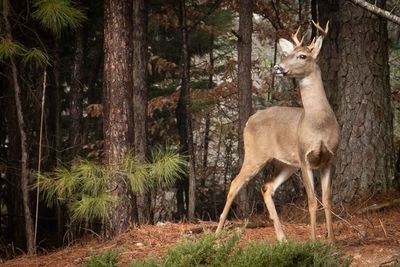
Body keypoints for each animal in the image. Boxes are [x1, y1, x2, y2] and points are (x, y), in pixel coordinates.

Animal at [217, 21, 340, 242]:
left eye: (302, 56)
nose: (278, 67)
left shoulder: (329, 158)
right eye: (287, 54)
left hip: (286, 163)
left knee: (267, 187)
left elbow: (326, 200)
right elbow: (312, 200)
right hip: (255, 154)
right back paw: (216, 233)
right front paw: (314, 241)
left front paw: (332, 241)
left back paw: (282, 238)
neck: (319, 125)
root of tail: (248, 121)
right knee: (235, 183)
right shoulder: (304, 156)